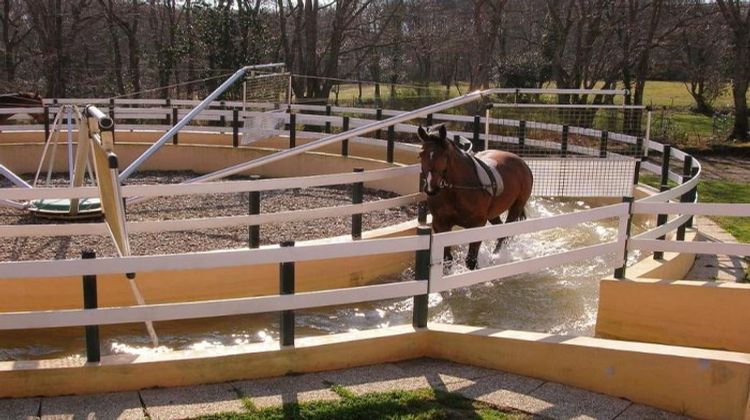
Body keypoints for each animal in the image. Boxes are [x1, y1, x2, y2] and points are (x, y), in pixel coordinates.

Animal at [418, 124, 536, 270]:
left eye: (444, 155)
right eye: (421, 155)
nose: (431, 188)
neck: (456, 191)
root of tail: (521, 162)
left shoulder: (477, 225)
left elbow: (471, 261)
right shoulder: (441, 224)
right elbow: (447, 260)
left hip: (516, 207)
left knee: (505, 234)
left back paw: (496, 256)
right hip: (493, 214)